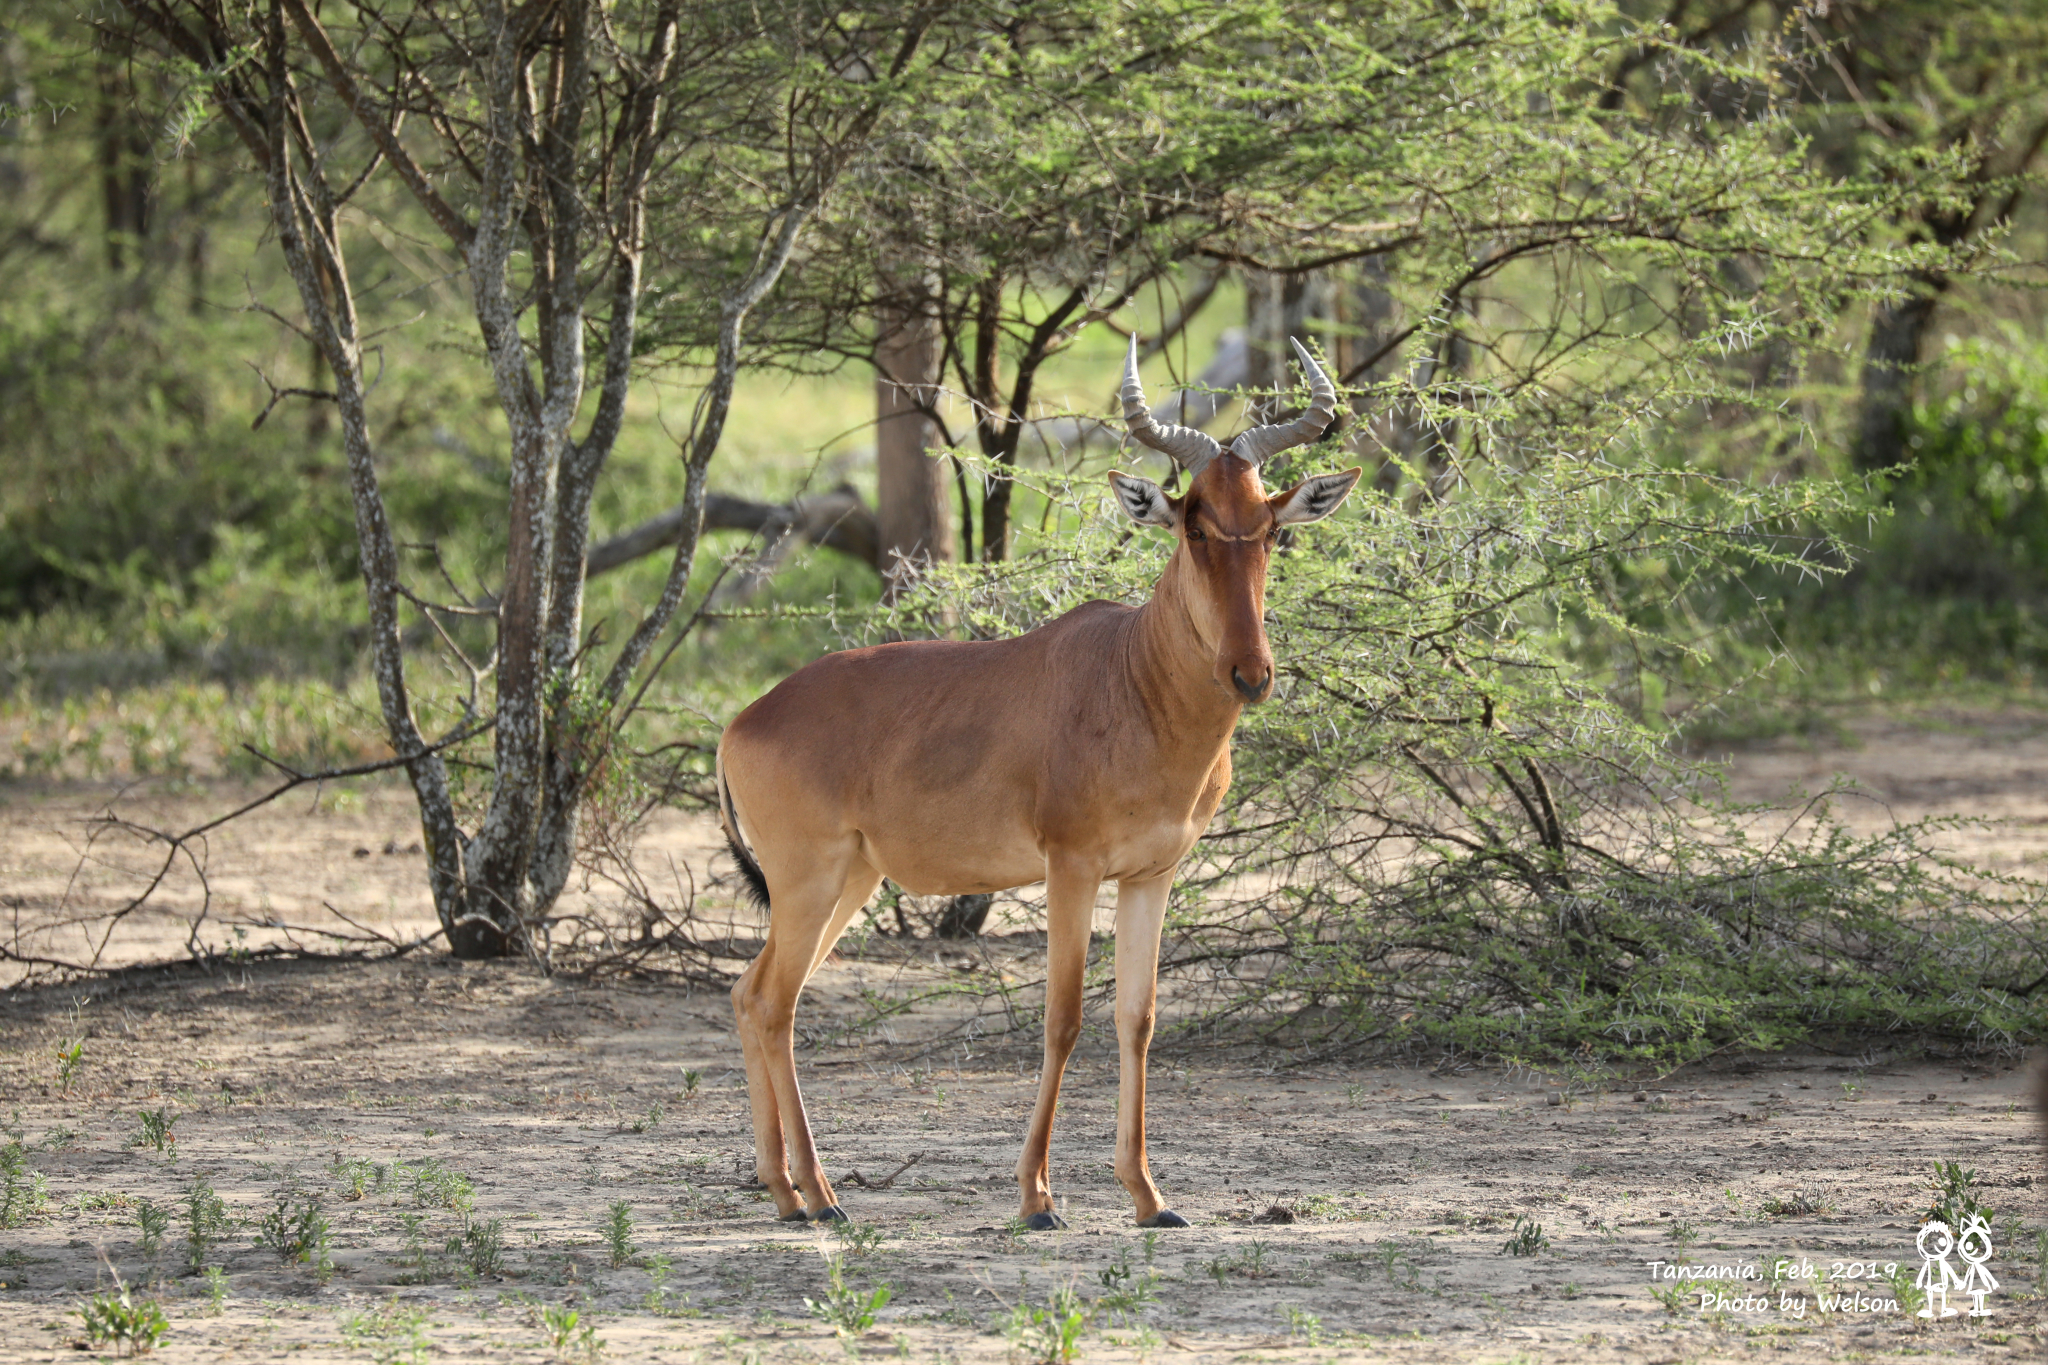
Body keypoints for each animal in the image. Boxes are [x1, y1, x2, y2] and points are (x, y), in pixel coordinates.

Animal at [720, 333, 1359, 1227]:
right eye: (1192, 523)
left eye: (1268, 526)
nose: (1251, 673)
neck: (1130, 673)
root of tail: (745, 720)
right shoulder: (1070, 867)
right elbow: (1062, 1017)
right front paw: (1037, 1197)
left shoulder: (1150, 875)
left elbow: (1137, 1017)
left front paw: (1150, 1196)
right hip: (808, 878)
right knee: (776, 1003)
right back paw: (822, 1195)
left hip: (849, 878)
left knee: (751, 995)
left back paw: (785, 1189)